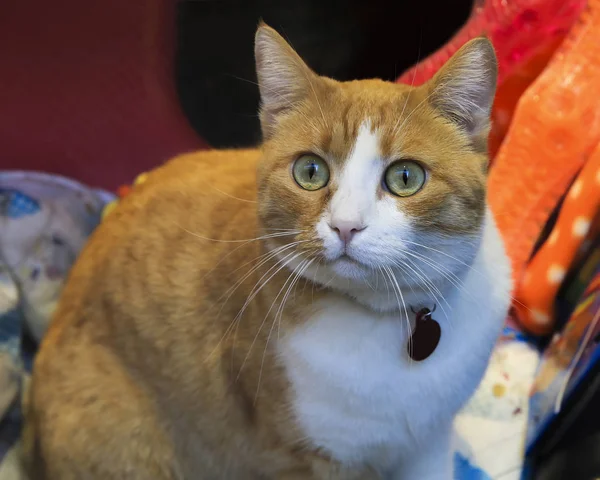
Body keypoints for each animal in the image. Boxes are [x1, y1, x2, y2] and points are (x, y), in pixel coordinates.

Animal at [23, 23, 510, 480]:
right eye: (310, 171)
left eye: (405, 177)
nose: (345, 226)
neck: (385, 320)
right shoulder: (303, 458)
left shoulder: (428, 442)